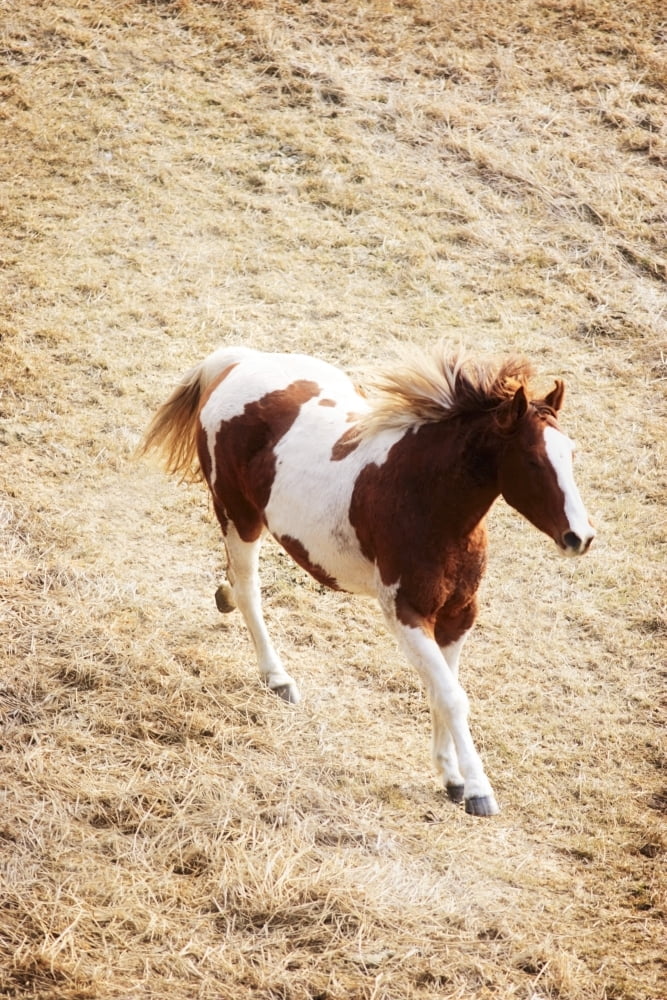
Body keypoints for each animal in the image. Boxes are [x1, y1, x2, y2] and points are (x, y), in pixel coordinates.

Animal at [141, 344, 595, 816]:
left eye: (571, 453)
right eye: (533, 460)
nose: (580, 537)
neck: (426, 499)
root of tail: (237, 361)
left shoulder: (458, 614)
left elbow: (442, 691)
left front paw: (451, 778)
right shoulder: (405, 613)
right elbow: (452, 696)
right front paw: (478, 791)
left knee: (234, 580)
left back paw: (224, 597)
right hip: (238, 515)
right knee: (249, 590)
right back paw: (278, 677)